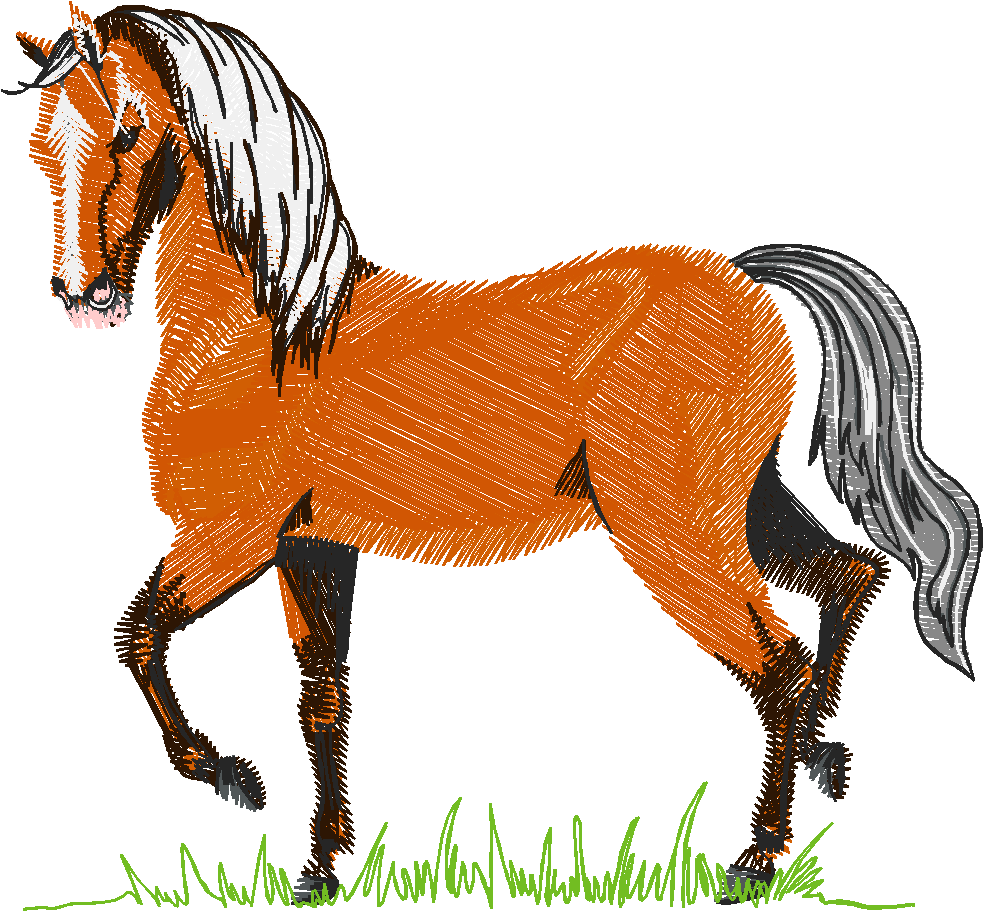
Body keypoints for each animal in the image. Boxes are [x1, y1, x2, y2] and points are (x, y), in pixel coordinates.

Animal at [9, 4, 978, 905]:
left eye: (127, 131)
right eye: (41, 147)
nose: (83, 296)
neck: (268, 331)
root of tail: (745, 276)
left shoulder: (233, 537)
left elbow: (136, 635)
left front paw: (232, 779)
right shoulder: (309, 547)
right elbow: (321, 697)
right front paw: (321, 865)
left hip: (673, 527)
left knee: (778, 662)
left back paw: (758, 855)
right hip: (739, 503)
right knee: (849, 578)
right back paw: (825, 760)